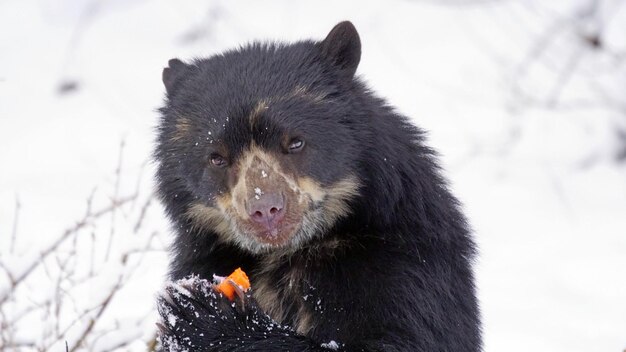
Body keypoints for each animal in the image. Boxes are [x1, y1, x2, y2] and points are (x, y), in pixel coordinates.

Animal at [154, 20, 480, 350]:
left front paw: (205, 315)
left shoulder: (403, 262)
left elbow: (403, 337)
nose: (266, 210)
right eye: (216, 157)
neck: (289, 254)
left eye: (296, 142)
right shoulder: (204, 258)